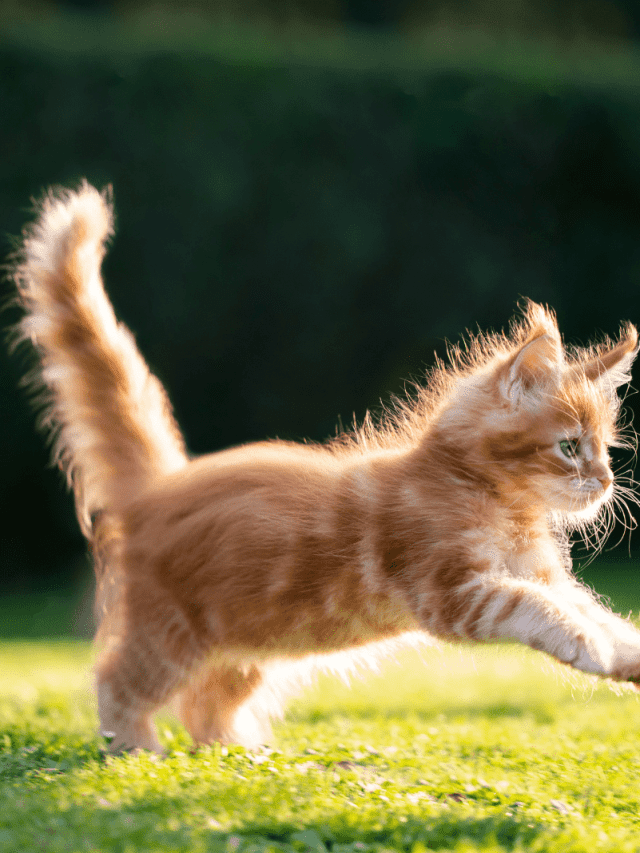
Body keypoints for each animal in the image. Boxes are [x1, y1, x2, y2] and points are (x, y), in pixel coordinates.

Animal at [8, 181, 640, 752]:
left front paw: (625, 652)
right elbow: (537, 608)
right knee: (117, 681)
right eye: (570, 447)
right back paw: (135, 748)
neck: (495, 499)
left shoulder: (542, 575)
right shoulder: (455, 590)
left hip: (252, 644)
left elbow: (594, 610)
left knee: (205, 702)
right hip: (169, 633)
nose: (607, 480)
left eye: (606, 448)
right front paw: (590, 645)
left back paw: (239, 754)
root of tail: (160, 487)